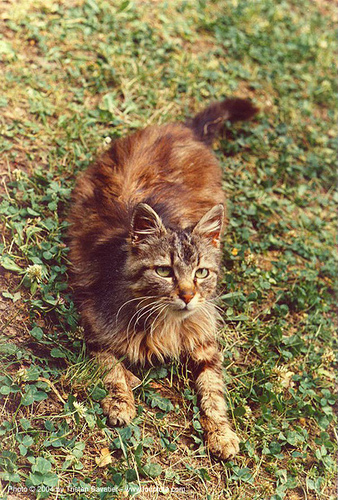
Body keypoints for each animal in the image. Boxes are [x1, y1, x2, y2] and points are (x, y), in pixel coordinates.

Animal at [67, 98, 258, 460]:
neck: (165, 322)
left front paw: (221, 433)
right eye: (165, 271)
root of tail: (183, 129)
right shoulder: (92, 324)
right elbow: (111, 368)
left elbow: (213, 390)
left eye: (201, 273)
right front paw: (121, 400)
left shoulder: (205, 340)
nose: (187, 295)